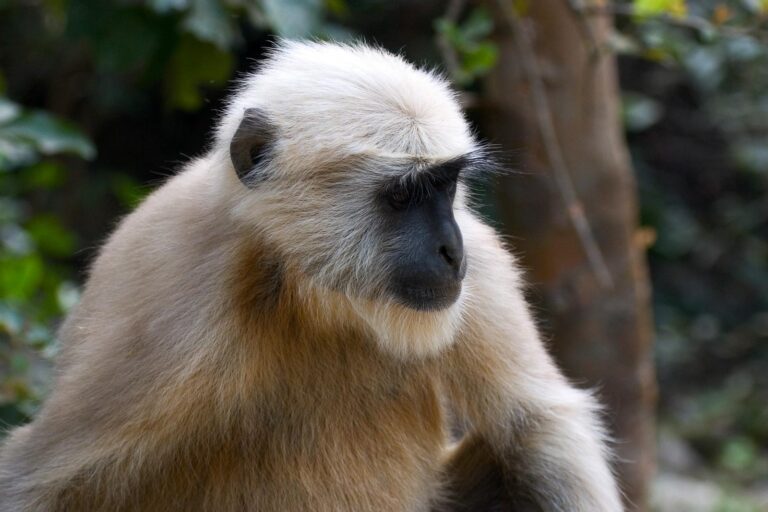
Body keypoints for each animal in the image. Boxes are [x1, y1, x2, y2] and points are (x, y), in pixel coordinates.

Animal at [0, 42, 624, 510]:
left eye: (446, 187)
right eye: (403, 196)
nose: (451, 249)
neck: (312, 296)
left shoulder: (483, 268)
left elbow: (538, 426)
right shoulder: (177, 294)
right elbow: (36, 480)